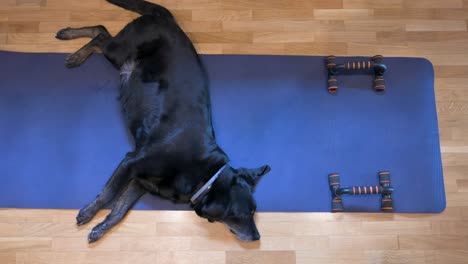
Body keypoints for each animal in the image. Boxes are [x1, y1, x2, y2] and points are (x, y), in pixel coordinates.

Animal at [56, 0, 270, 243]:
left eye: (255, 210)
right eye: (244, 214)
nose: (257, 237)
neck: (205, 177)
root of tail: (168, 19)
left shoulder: (141, 181)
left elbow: (120, 210)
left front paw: (100, 229)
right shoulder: (130, 162)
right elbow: (108, 194)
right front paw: (88, 212)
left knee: (101, 33)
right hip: (118, 51)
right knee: (100, 33)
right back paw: (73, 47)